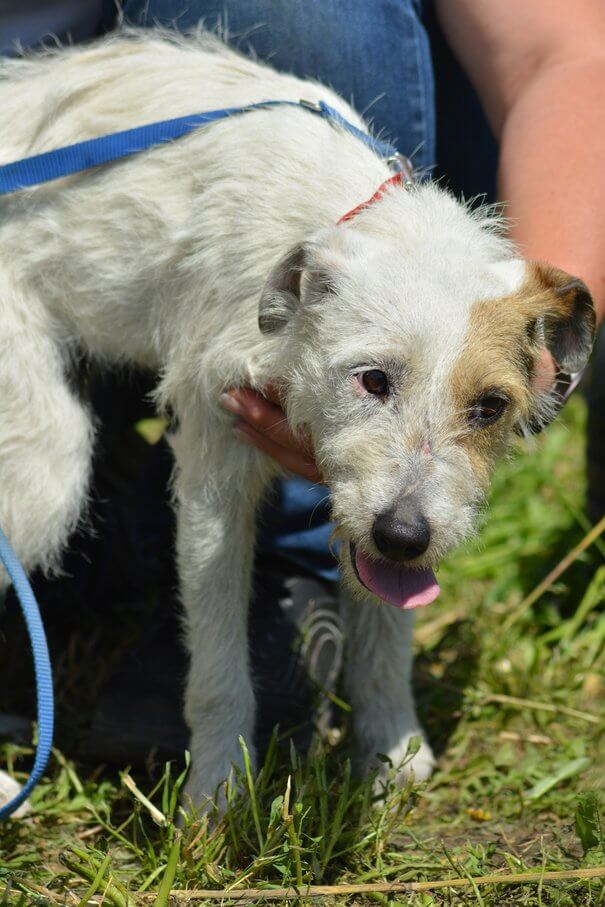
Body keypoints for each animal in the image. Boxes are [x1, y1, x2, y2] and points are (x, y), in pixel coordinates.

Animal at [0, 29, 595, 811]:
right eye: (371, 379)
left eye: (490, 407)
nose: (404, 535)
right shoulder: (214, 473)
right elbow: (219, 666)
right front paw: (217, 793)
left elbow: (383, 627)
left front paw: (392, 751)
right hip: (43, 465)